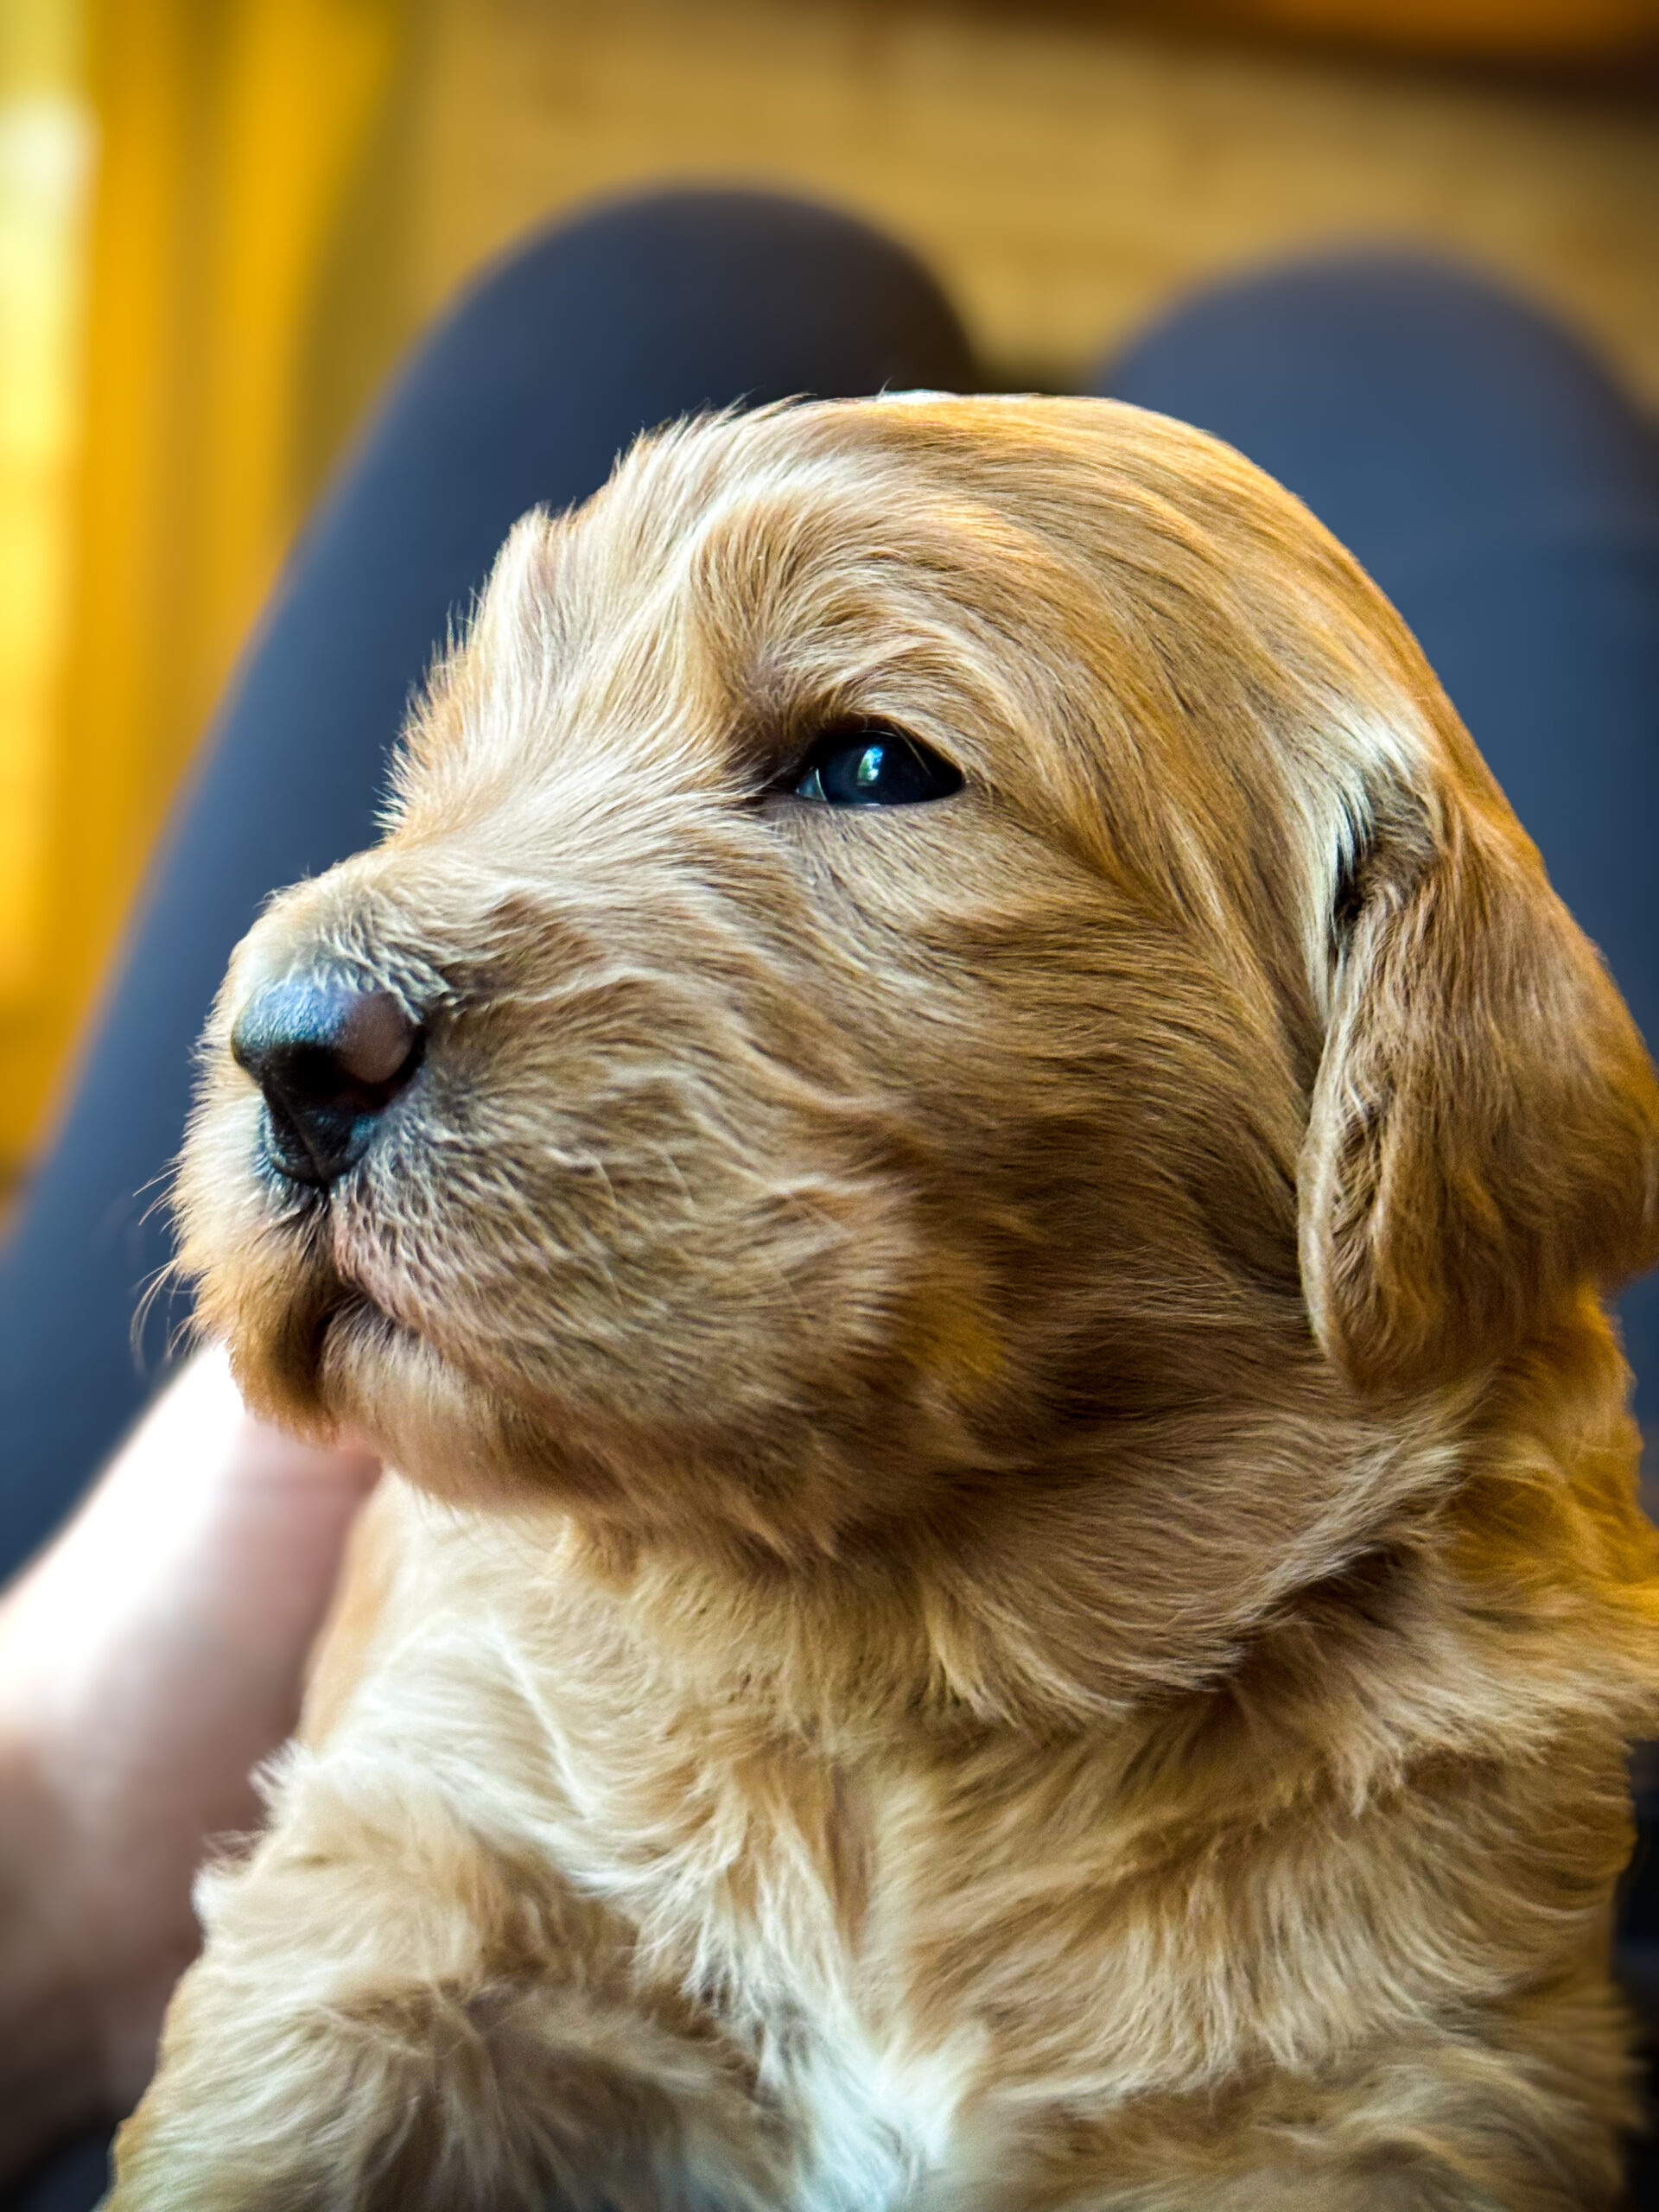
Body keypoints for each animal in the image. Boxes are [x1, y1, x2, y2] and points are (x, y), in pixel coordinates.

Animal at [111, 389, 1659, 2202]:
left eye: (870, 764)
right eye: (444, 772)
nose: (290, 1039)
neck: (897, 1673)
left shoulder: (1398, 2081)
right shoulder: (397, 1888)